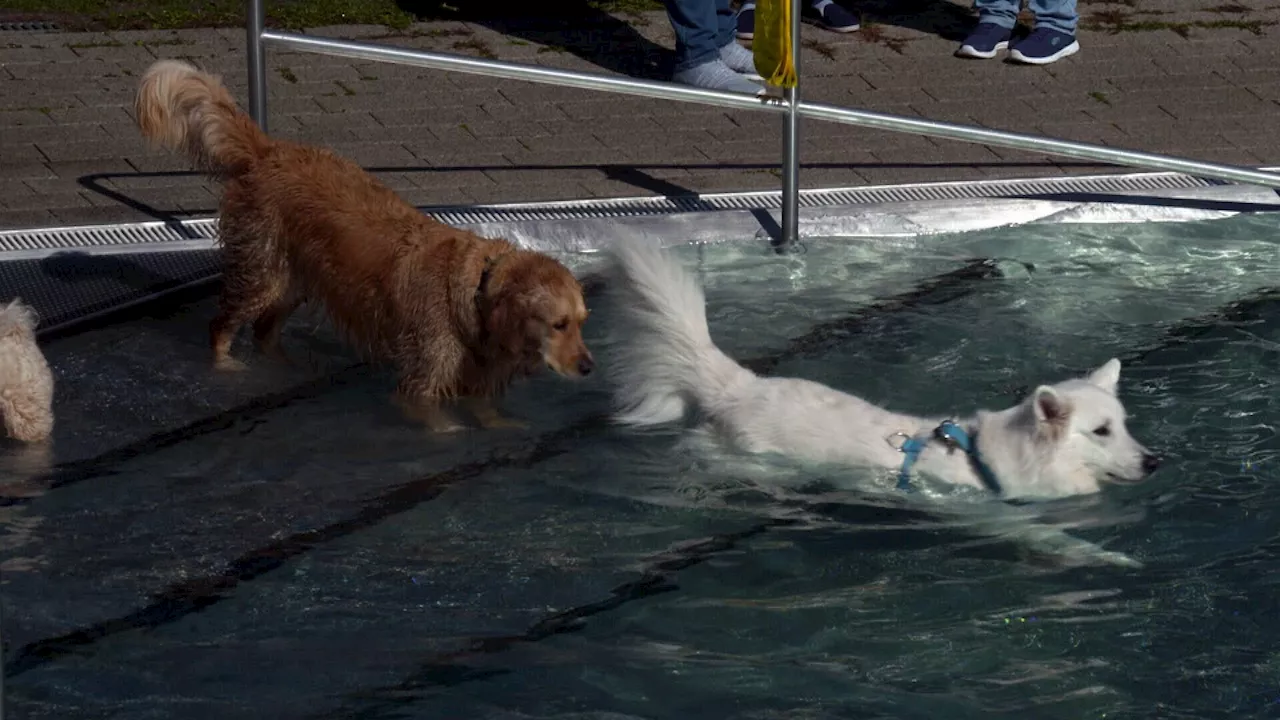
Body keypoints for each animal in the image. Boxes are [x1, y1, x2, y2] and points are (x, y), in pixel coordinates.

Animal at [135, 58, 593, 427]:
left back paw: (289, 367)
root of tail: (269, 150)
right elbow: (442, 425)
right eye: (559, 324)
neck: (474, 292)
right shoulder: (419, 387)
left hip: (295, 280)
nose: (590, 367)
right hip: (261, 272)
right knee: (221, 325)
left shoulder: (475, 383)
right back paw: (227, 368)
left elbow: (489, 415)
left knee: (266, 332)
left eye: (582, 321)